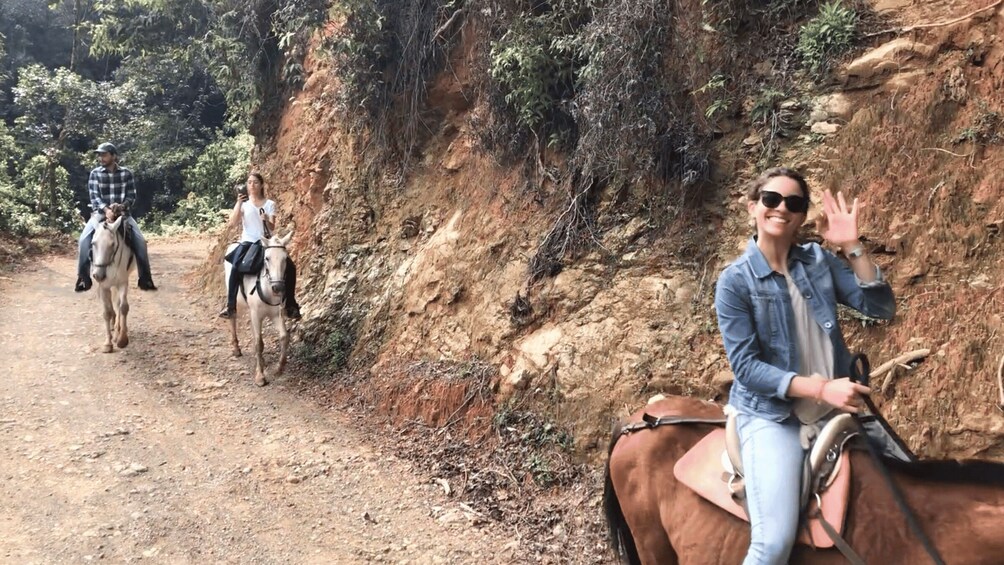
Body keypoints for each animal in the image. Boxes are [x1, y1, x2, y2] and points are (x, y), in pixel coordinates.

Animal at [90, 209, 135, 355]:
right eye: (93, 243)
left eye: (113, 245)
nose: (98, 275)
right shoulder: (103, 286)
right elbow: (106, 312)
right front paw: (107, 343)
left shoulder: (122, 282)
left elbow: (123, 307)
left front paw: (122, 339)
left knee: (117, 303)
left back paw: (117, 330)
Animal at [224, 231, 293, 387]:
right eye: (266, 258)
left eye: (285, 258)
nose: (278, 288)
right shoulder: (256, 314)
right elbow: (258, 343)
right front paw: (260, 376)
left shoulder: (276, 315)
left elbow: (284, 337)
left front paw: (279, 368)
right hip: (235, 301)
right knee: (233, 318)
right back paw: (236, 349)